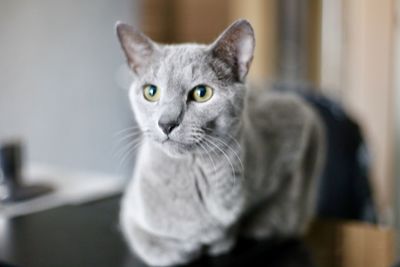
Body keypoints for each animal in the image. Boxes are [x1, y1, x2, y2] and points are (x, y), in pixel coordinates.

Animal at [115, 19, 324, 267]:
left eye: (201, 93)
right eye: (151, 92)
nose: (166, 123)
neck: (193, 172)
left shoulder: (300, 120)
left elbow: (287, 200)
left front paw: (227, 236)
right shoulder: (130, 206)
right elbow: (140, 233)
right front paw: (178, 250)